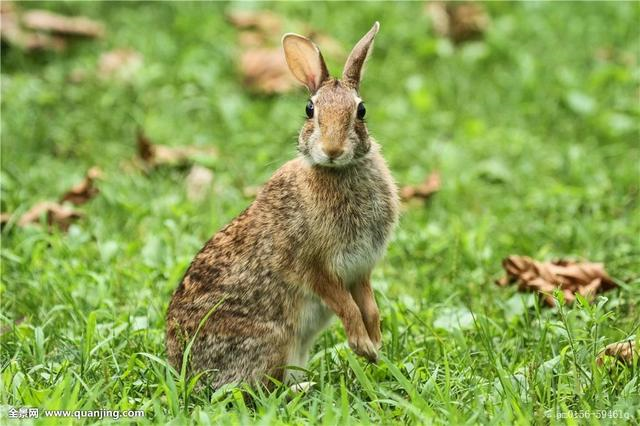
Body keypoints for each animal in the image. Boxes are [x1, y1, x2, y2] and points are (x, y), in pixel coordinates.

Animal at [168, 22, 402, 390]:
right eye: (310, 110)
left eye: (361, 110)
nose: (332, 149)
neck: (338, 172)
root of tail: (182, 369)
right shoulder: (312, 268)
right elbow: (347, 307)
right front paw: (363, 346)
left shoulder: (360, 269)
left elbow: (369, 306)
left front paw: (375, 345)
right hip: (274, 339)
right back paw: (305, 387)